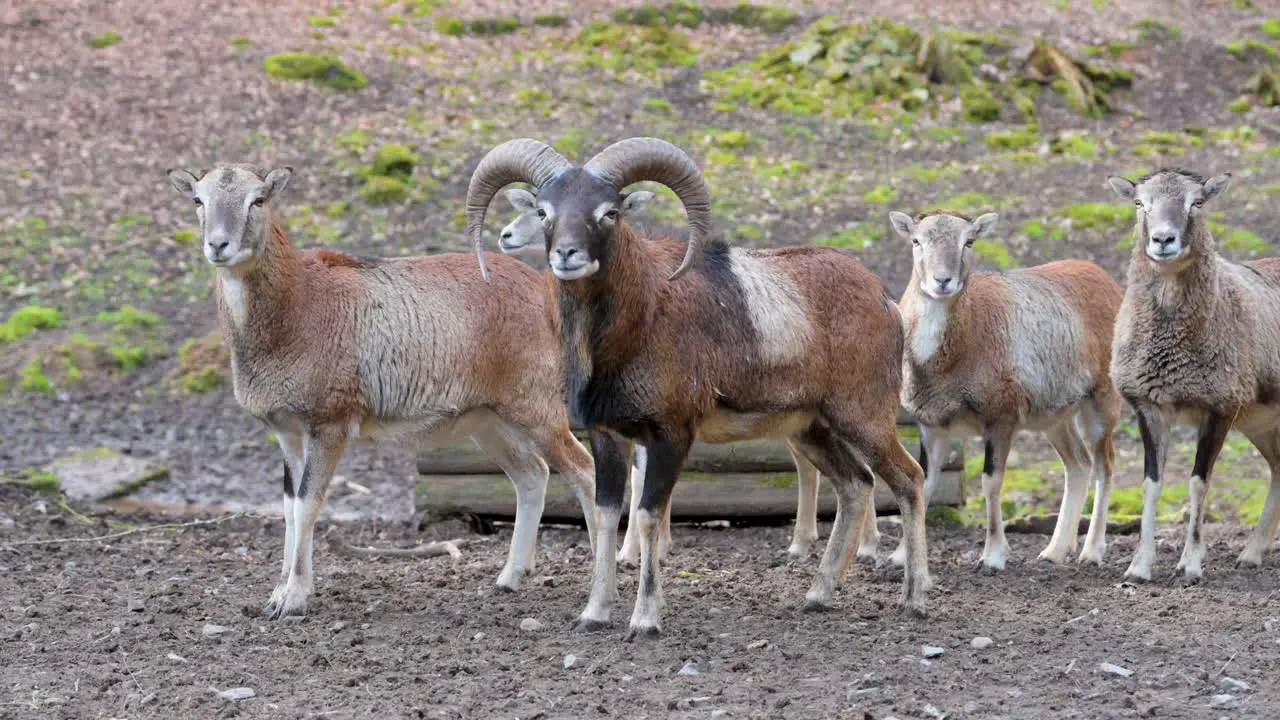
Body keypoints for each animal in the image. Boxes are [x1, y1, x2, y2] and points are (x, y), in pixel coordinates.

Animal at [163, 163, 593, 617]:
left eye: (258, 200)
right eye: (198, 200)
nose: (218, 245)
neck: (298, 306)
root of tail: (543, 292)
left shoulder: (329, 427)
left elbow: (308, 503)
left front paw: (294, 598)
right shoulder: (288, 434)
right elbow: (289, 507)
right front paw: (277, 595)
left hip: (538, 410)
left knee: (584, 471)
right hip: (489, 423)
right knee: (532, 477)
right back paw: (508, 580)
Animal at [890, 208, 1121, 571]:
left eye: (969, 241)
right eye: (916, 240)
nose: (943, 281)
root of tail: (1109, 283)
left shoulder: (1000, 419)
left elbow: (991, 482)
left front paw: (994, 556)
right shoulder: (932, 427)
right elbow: (923, 482)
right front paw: (899, 556)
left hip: (1101, 403)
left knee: (1104, 466)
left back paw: (1092, 552)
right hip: (1055, 418)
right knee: (1078, 465)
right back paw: (1053, 553)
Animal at [1100, 167, 1280, 584]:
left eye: (1196, 202)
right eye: (1140, 203)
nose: (1163, 240)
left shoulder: (1220, 408)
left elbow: (1199, 483)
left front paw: (1191, 565)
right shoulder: (1148, 408)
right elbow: (1151, 485)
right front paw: (1139, 567)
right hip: (1262, 422)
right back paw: (1251, 554)